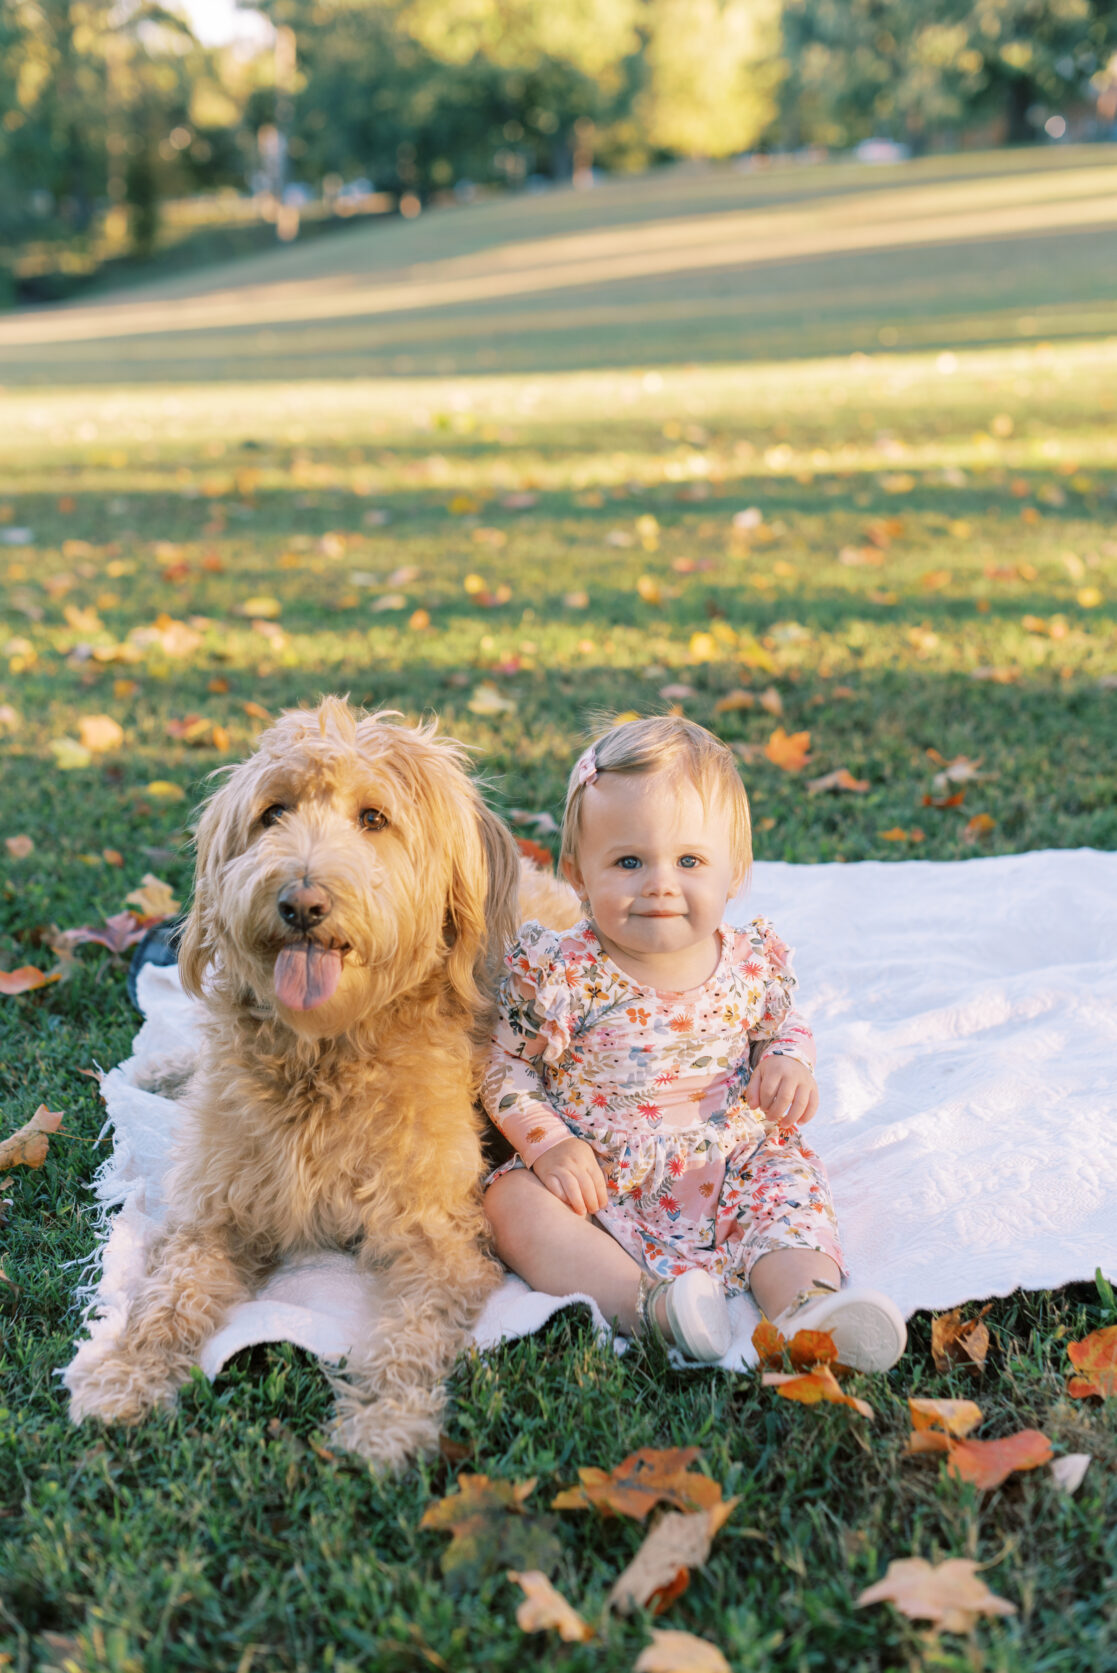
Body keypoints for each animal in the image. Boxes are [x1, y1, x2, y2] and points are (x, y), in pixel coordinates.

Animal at [67, 692, 525, 1465]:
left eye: (374, 818)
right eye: (272, 812)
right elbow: (167, 1299)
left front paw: (385, 1419)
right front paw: (127, 1371)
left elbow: (411, 1333)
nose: (301, 902)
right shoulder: (213, 1214)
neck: (324, 1056)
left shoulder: (440, 1240)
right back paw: (159, 1072)